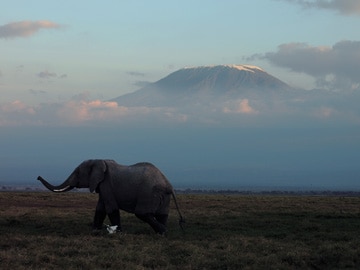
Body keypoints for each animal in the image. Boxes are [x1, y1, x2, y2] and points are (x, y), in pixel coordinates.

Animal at [36, 159, 184, 235]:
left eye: (77, 173)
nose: (37, 177)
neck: (98, 160)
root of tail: (169, 185)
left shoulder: (106, 184)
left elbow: (111, 208)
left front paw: (118, 232)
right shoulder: (102, 186)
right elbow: (100, 208)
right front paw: (95, 231)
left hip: (148, 193)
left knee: (141, 213)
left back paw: (162, 231)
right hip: (163, 196)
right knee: (162, 214)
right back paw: (161, 233)